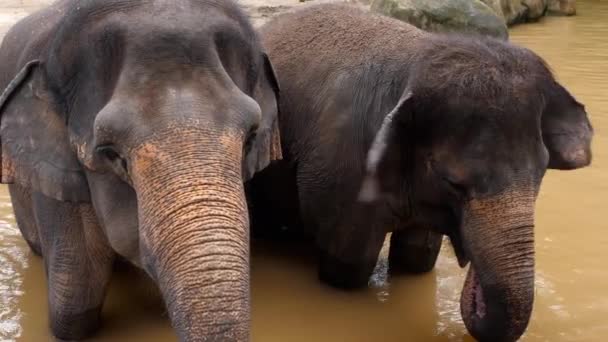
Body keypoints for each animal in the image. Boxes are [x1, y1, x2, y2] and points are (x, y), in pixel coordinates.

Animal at [247, 3, 592, 342]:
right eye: (453, 182)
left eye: (540, 175)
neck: (417, 60)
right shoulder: (343, 176)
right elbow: (349, 269)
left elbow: (418, 259)